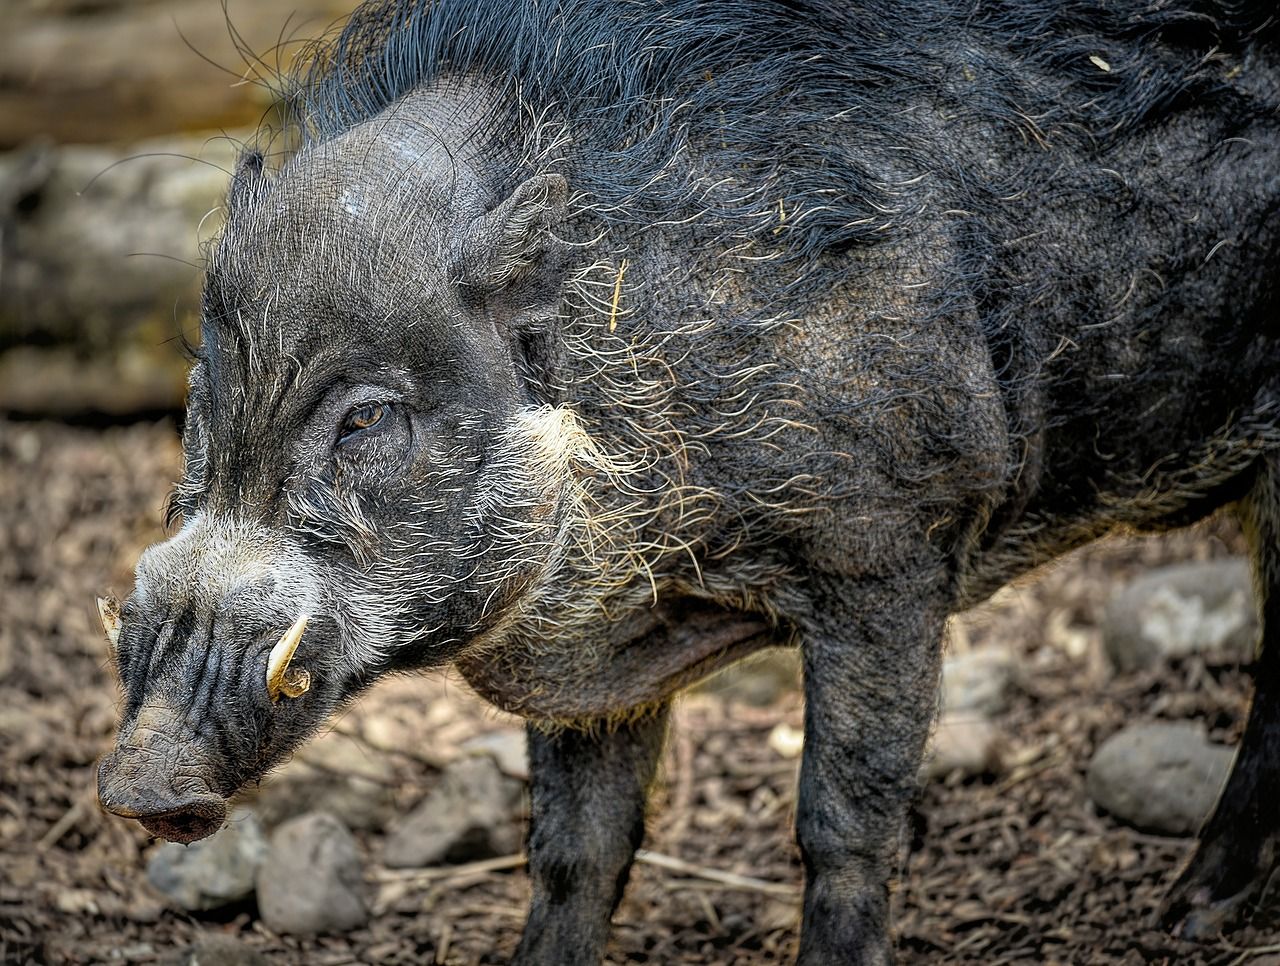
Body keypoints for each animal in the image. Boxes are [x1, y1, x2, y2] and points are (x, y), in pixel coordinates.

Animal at [95, 0, 1280, 962]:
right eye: (203, 383)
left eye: (366, 416)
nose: (143, 785)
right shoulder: (597, 659)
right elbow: (574, 850)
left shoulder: (893, 548)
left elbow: (844, 823)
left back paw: (1192, 916)